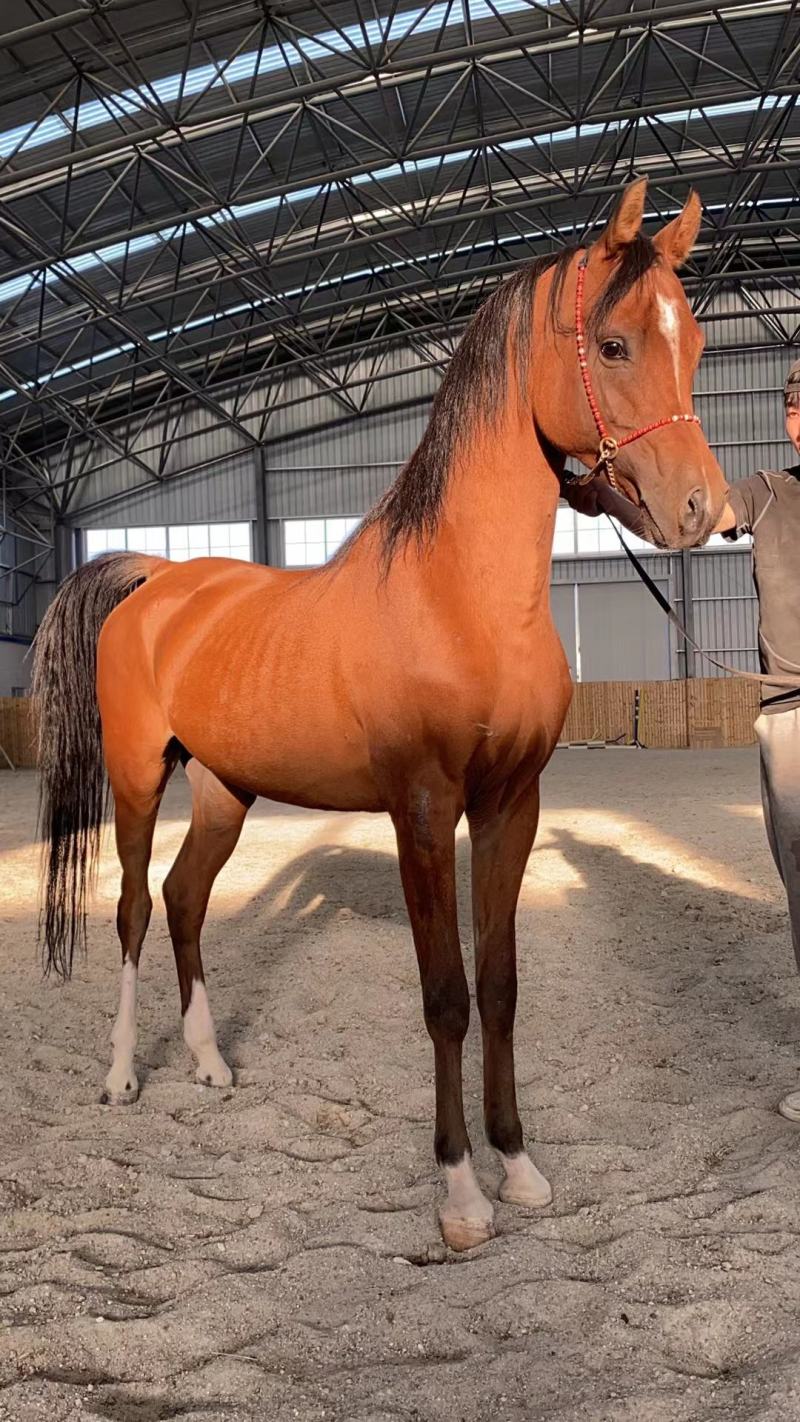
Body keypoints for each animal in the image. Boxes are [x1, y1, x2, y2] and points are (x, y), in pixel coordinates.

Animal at [32, 177, 727, 1252]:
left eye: (692, 340)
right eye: (614, 345)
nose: (702, 508)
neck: (460, 598)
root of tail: (152, 579)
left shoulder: (511, 806)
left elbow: (501, 987)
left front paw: (519, 1166)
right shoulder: (422, 811)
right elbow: (445, 997)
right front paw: (461, 1194)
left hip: (227, 791)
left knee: (187, 902)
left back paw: (211, 1065)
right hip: (141, 780)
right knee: (136, 909)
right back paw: (120, 1079)